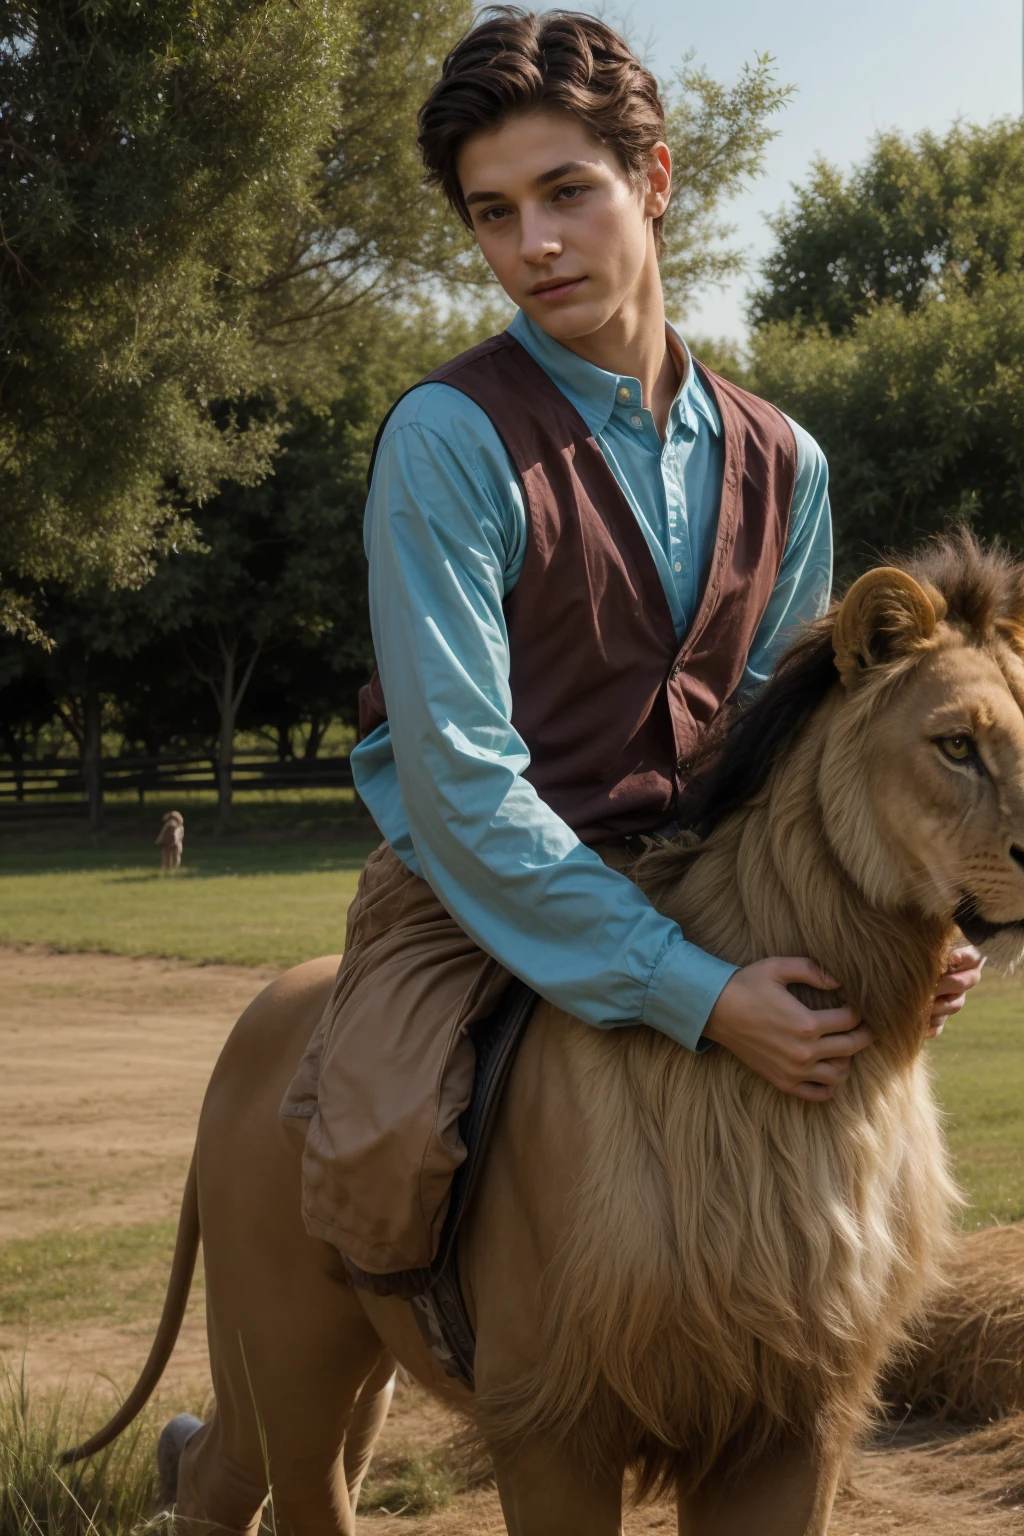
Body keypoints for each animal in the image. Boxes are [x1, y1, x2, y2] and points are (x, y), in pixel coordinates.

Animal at [66, 531, 1024, 1536]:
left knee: (259, 1471)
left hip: (360, 1363)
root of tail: (257, 1017)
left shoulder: (792, 1412)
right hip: (285, 1344)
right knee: (267, 1476)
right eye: (957, 745)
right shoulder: (549, 1417)